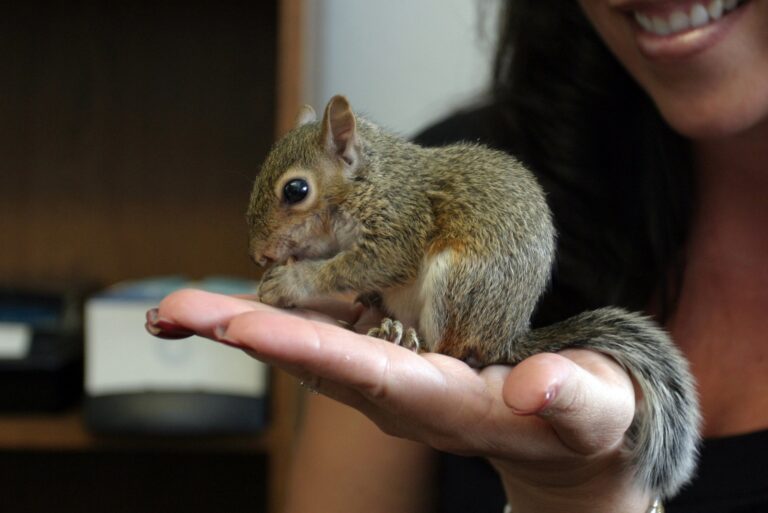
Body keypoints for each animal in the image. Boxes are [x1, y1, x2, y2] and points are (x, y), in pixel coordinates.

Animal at [246, 95, 700, 499]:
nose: (259, 255)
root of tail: (506, 337)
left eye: (296, 190)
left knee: (449, 348)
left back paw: (402, 336)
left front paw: (292, 281)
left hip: (458, 283)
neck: (368, 179)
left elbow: (364, 265)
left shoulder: (399, 224)